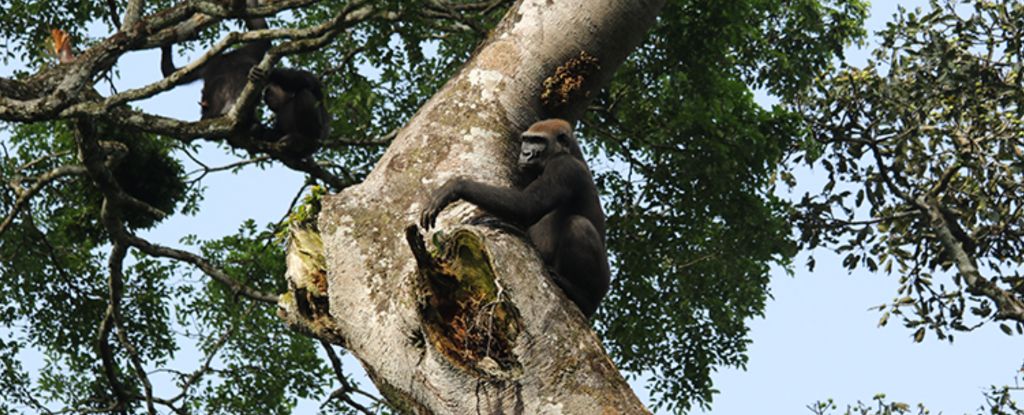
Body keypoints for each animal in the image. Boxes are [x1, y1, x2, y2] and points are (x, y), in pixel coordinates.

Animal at [419, 117, 610, 317]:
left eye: (538, 141)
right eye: (526, 140)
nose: (525, 153)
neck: (570, 151)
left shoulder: (564, 167)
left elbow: (527, 205)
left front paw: (456, 186)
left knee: (579, 225)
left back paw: (582, 296)